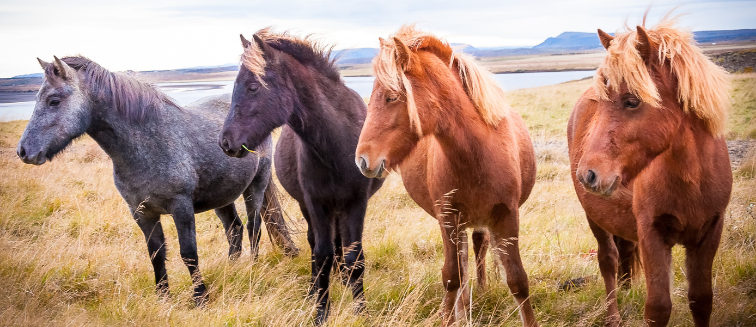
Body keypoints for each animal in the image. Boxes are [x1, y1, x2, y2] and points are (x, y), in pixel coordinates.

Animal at [15, 55, 298, 304]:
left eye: (54, 101)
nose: (23, 151)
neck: (147, 143)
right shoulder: (142, 212)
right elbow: (156, 254)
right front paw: (163, 298)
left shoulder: (181, 207)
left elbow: (189, 253)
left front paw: (200, 298)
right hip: (222, 196)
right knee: (234, 230)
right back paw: (232, 269)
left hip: (255, 186)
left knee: (253, 226)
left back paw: (252, 267)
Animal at [354, 26, 536, 327]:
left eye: (392, 96)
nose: (362, 160)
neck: (479, 153)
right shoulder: (449, 217)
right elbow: (452, 277)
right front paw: (450, 316)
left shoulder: (507, 216)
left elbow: (518, 280)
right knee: (462, 266)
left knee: (478, 249)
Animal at [568, 14, 736, 326]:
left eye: (632, 101)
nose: (588, 175)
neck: (692, 180)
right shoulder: (653, 235)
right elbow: (658, 308)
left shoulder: (709, 233)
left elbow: (701, 300)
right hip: (595, 218)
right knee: (608, 260)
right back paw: (613, 316)